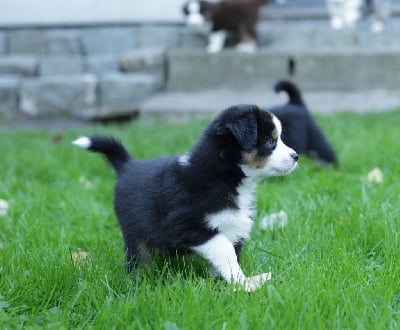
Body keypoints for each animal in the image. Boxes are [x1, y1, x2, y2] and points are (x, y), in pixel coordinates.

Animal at [72, 105, 296, 292]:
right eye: (270, 142)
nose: (296, 156)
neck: (226, 177)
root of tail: (128, 165)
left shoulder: (234, 226)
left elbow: (228, 257)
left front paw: (224, 283)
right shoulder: (186, 224)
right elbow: (225, 250)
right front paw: (245, 284)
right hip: (134, 231)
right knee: (137, 256)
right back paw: (139, 280)